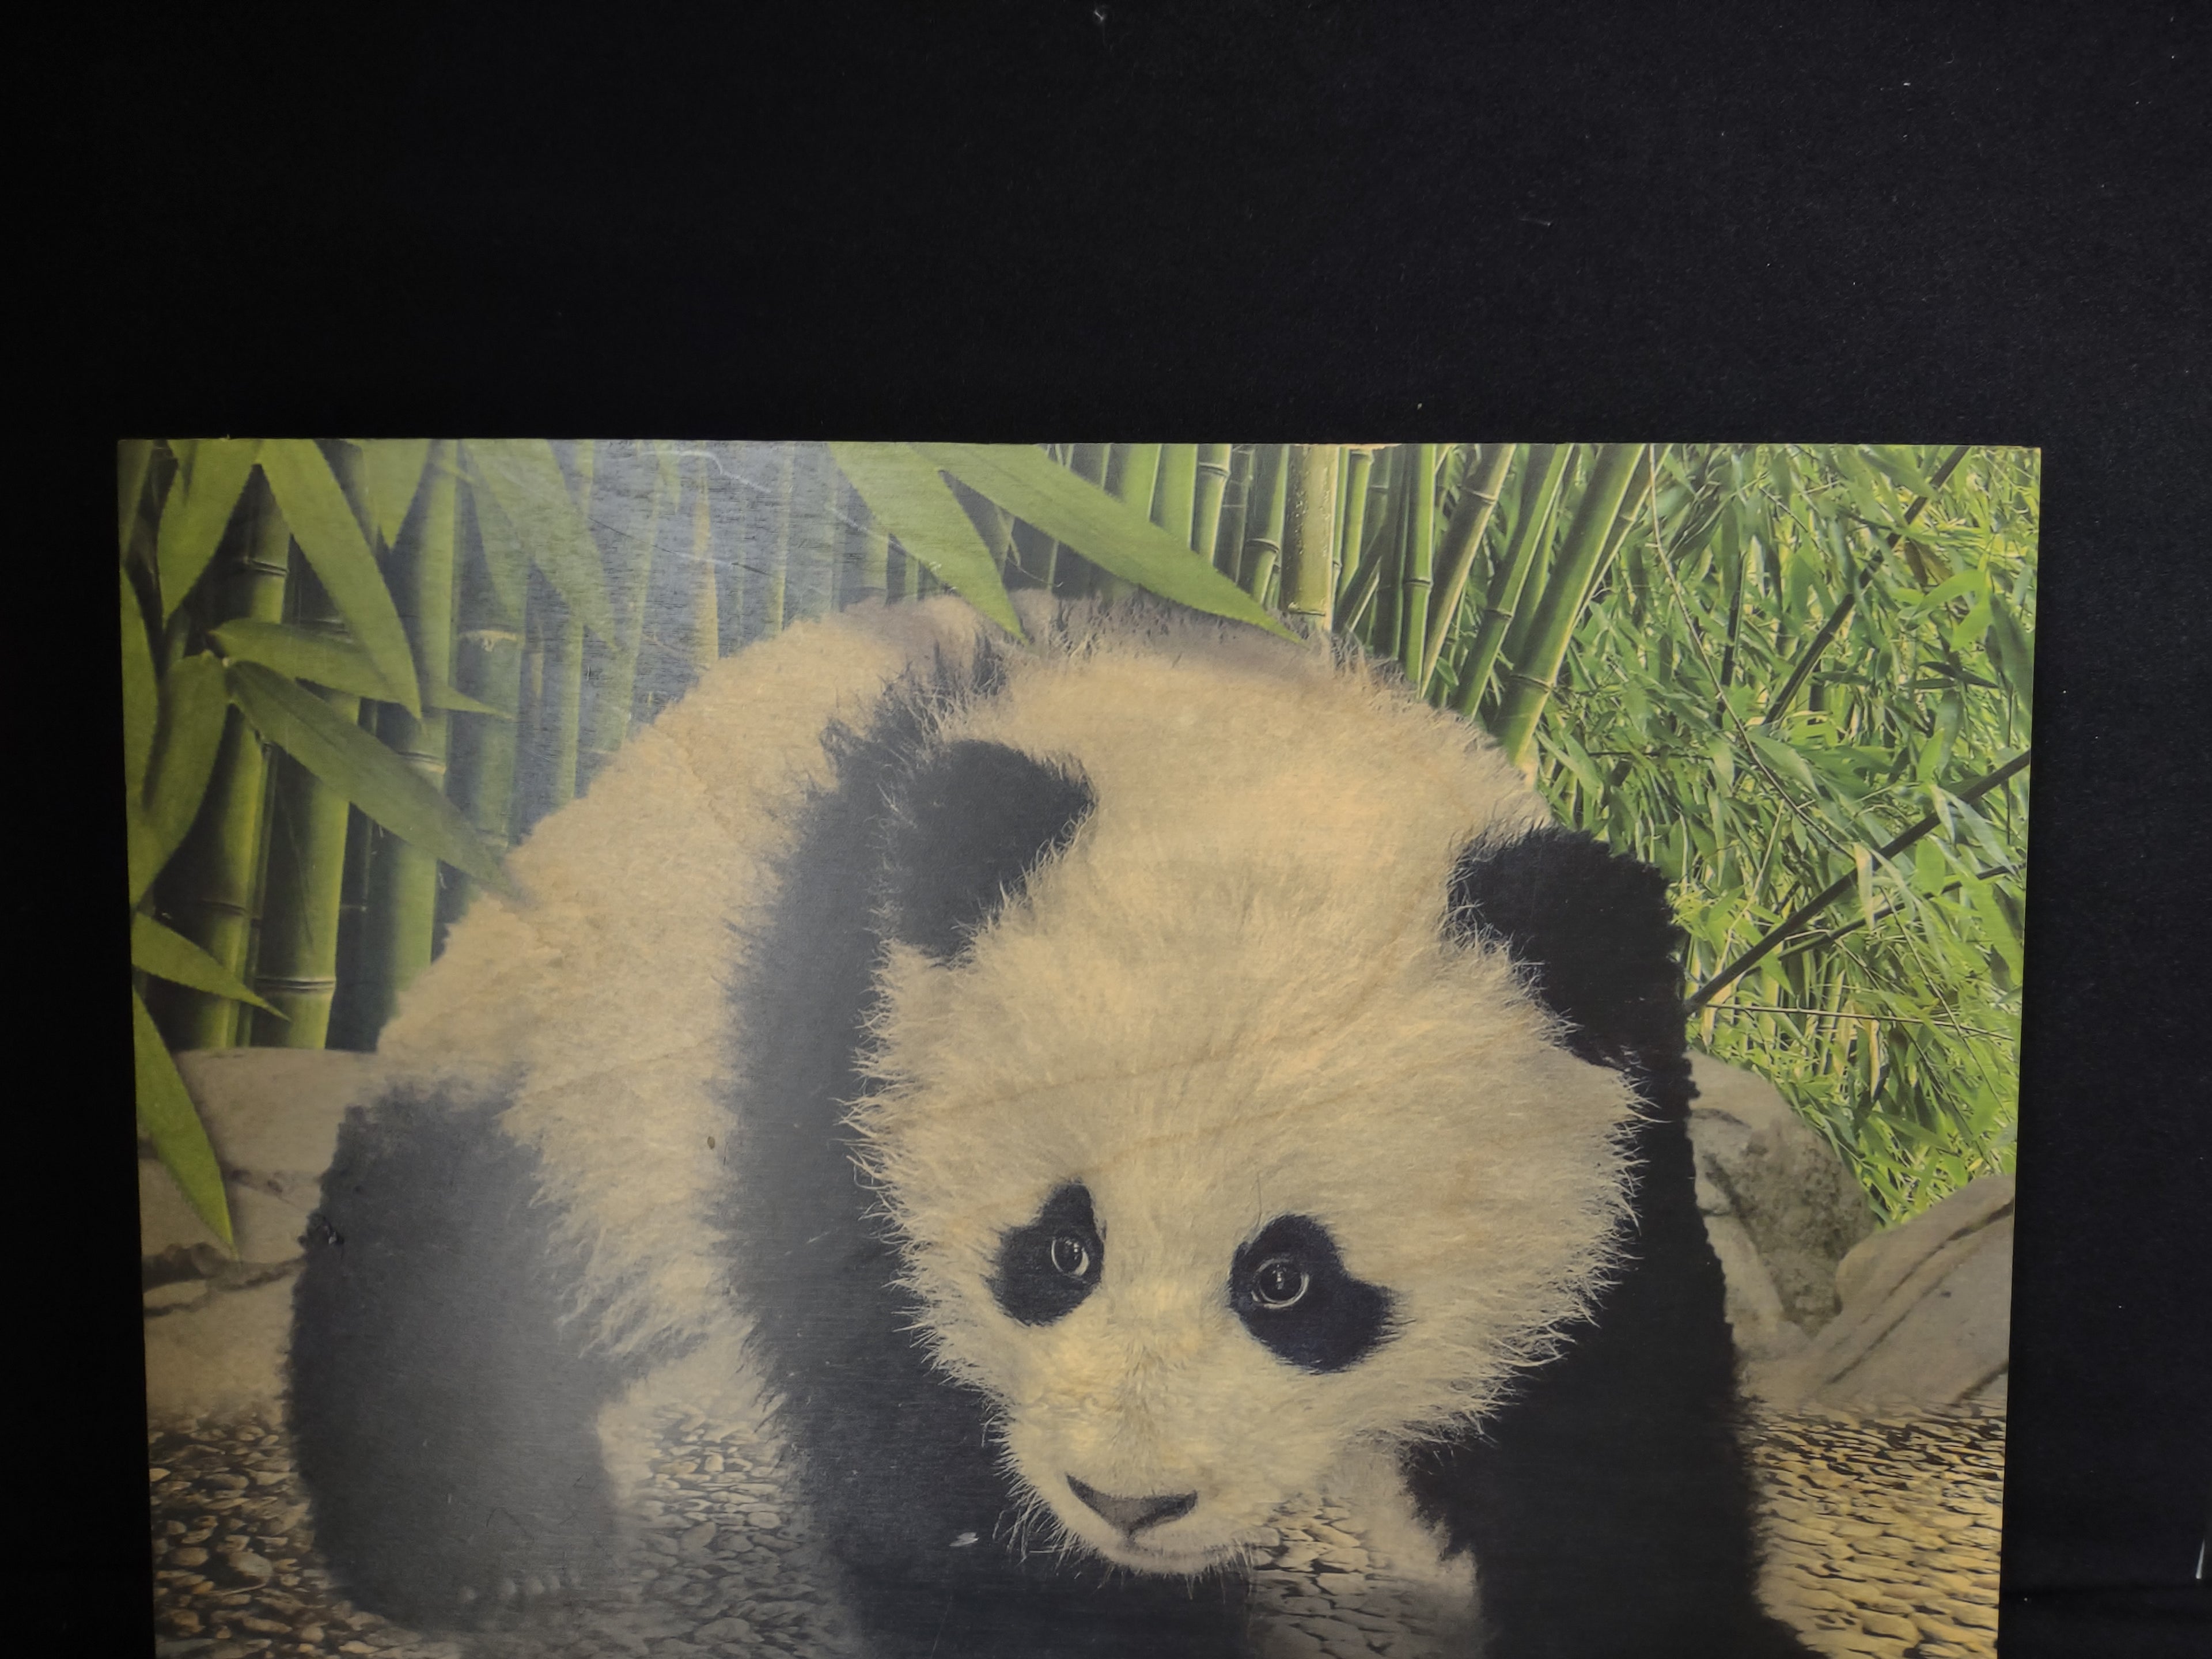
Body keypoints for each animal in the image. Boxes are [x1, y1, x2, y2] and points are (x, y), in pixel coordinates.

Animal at [290, 591, 1813, 1659]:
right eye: (1057, 1250)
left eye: (1289, 1278)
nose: (1129, 1503)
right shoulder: (847, 1045)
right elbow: (915, 1408)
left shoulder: (1601, 1110)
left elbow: (1600, 1404)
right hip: (586, 1054)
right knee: (472, 1263)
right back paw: (488, 1548)